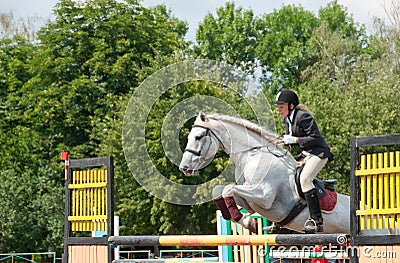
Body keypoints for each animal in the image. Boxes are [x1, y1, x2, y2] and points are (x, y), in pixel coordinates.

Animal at [179, 112, 350, 234]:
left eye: (198, 137)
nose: (184, 168)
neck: (252, 155)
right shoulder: (248, 200)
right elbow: (219, 190)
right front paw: (246, 221)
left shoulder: (264, 196)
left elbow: (227, 189)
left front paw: (244, 220)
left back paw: (312, 225)